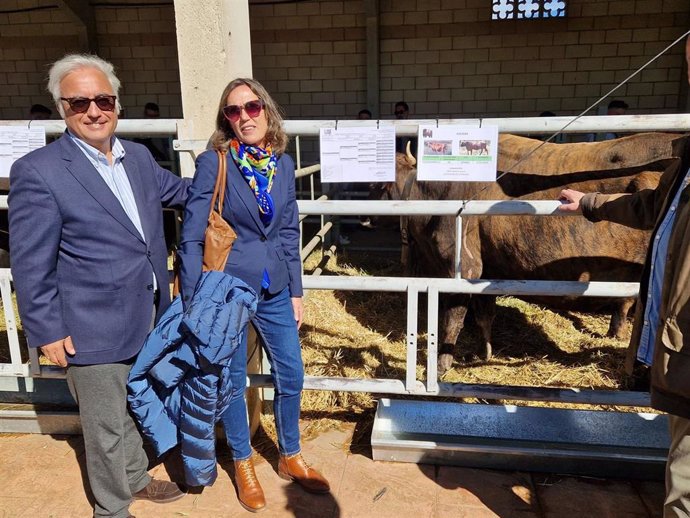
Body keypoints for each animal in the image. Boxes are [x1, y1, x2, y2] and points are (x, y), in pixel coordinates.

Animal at [384, 132, 684, 372]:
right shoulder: (488, 270)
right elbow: (484, 316)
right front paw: (485, 353)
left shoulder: (464, 266)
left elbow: (451, 322)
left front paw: (440, 366)